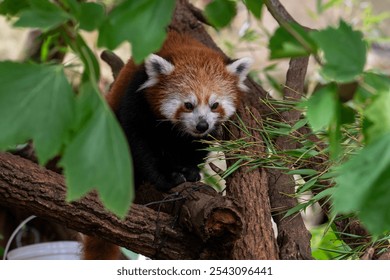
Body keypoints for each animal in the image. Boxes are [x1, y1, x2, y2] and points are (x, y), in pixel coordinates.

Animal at [83, 31, 251, 260]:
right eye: (188, 105)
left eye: (214, 105)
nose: (202, 125)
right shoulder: (137, 97)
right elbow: (139, 142)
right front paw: (166, 177)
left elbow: (196, 147)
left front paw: (189, 170)